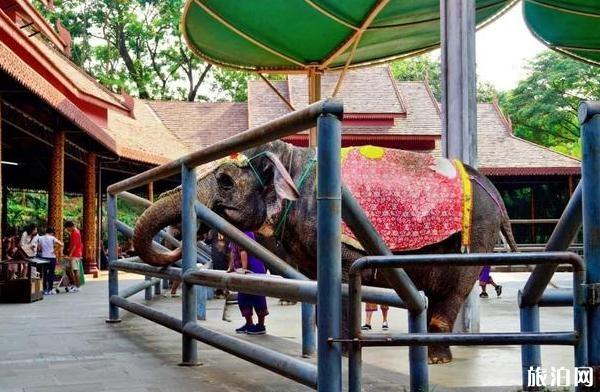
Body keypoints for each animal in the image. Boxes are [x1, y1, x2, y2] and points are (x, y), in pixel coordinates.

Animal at [134, 141, 516, 364]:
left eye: (226, 181)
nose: (182, 233)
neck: (291, 158)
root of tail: (493, 191)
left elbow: (343, 279)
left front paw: (343, 354)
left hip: (476, 233)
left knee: (454, 290)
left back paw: (437, 359)